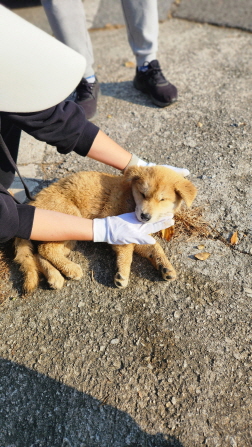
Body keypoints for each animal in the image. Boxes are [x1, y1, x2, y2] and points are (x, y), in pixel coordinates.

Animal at [14, 166, 198, 292]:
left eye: (162, 199)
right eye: (143, 194)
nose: (145, 216)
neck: (130, 198)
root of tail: (32, 203)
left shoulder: (140, 235)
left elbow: (155, 248)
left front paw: (165, 267)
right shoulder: (123, 232)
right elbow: (127, 253)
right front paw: (123, 273)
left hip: (66, 237)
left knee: (40, 252)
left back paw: (54, 276)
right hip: (70, 218)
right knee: (46, 249)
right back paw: (71, 269)